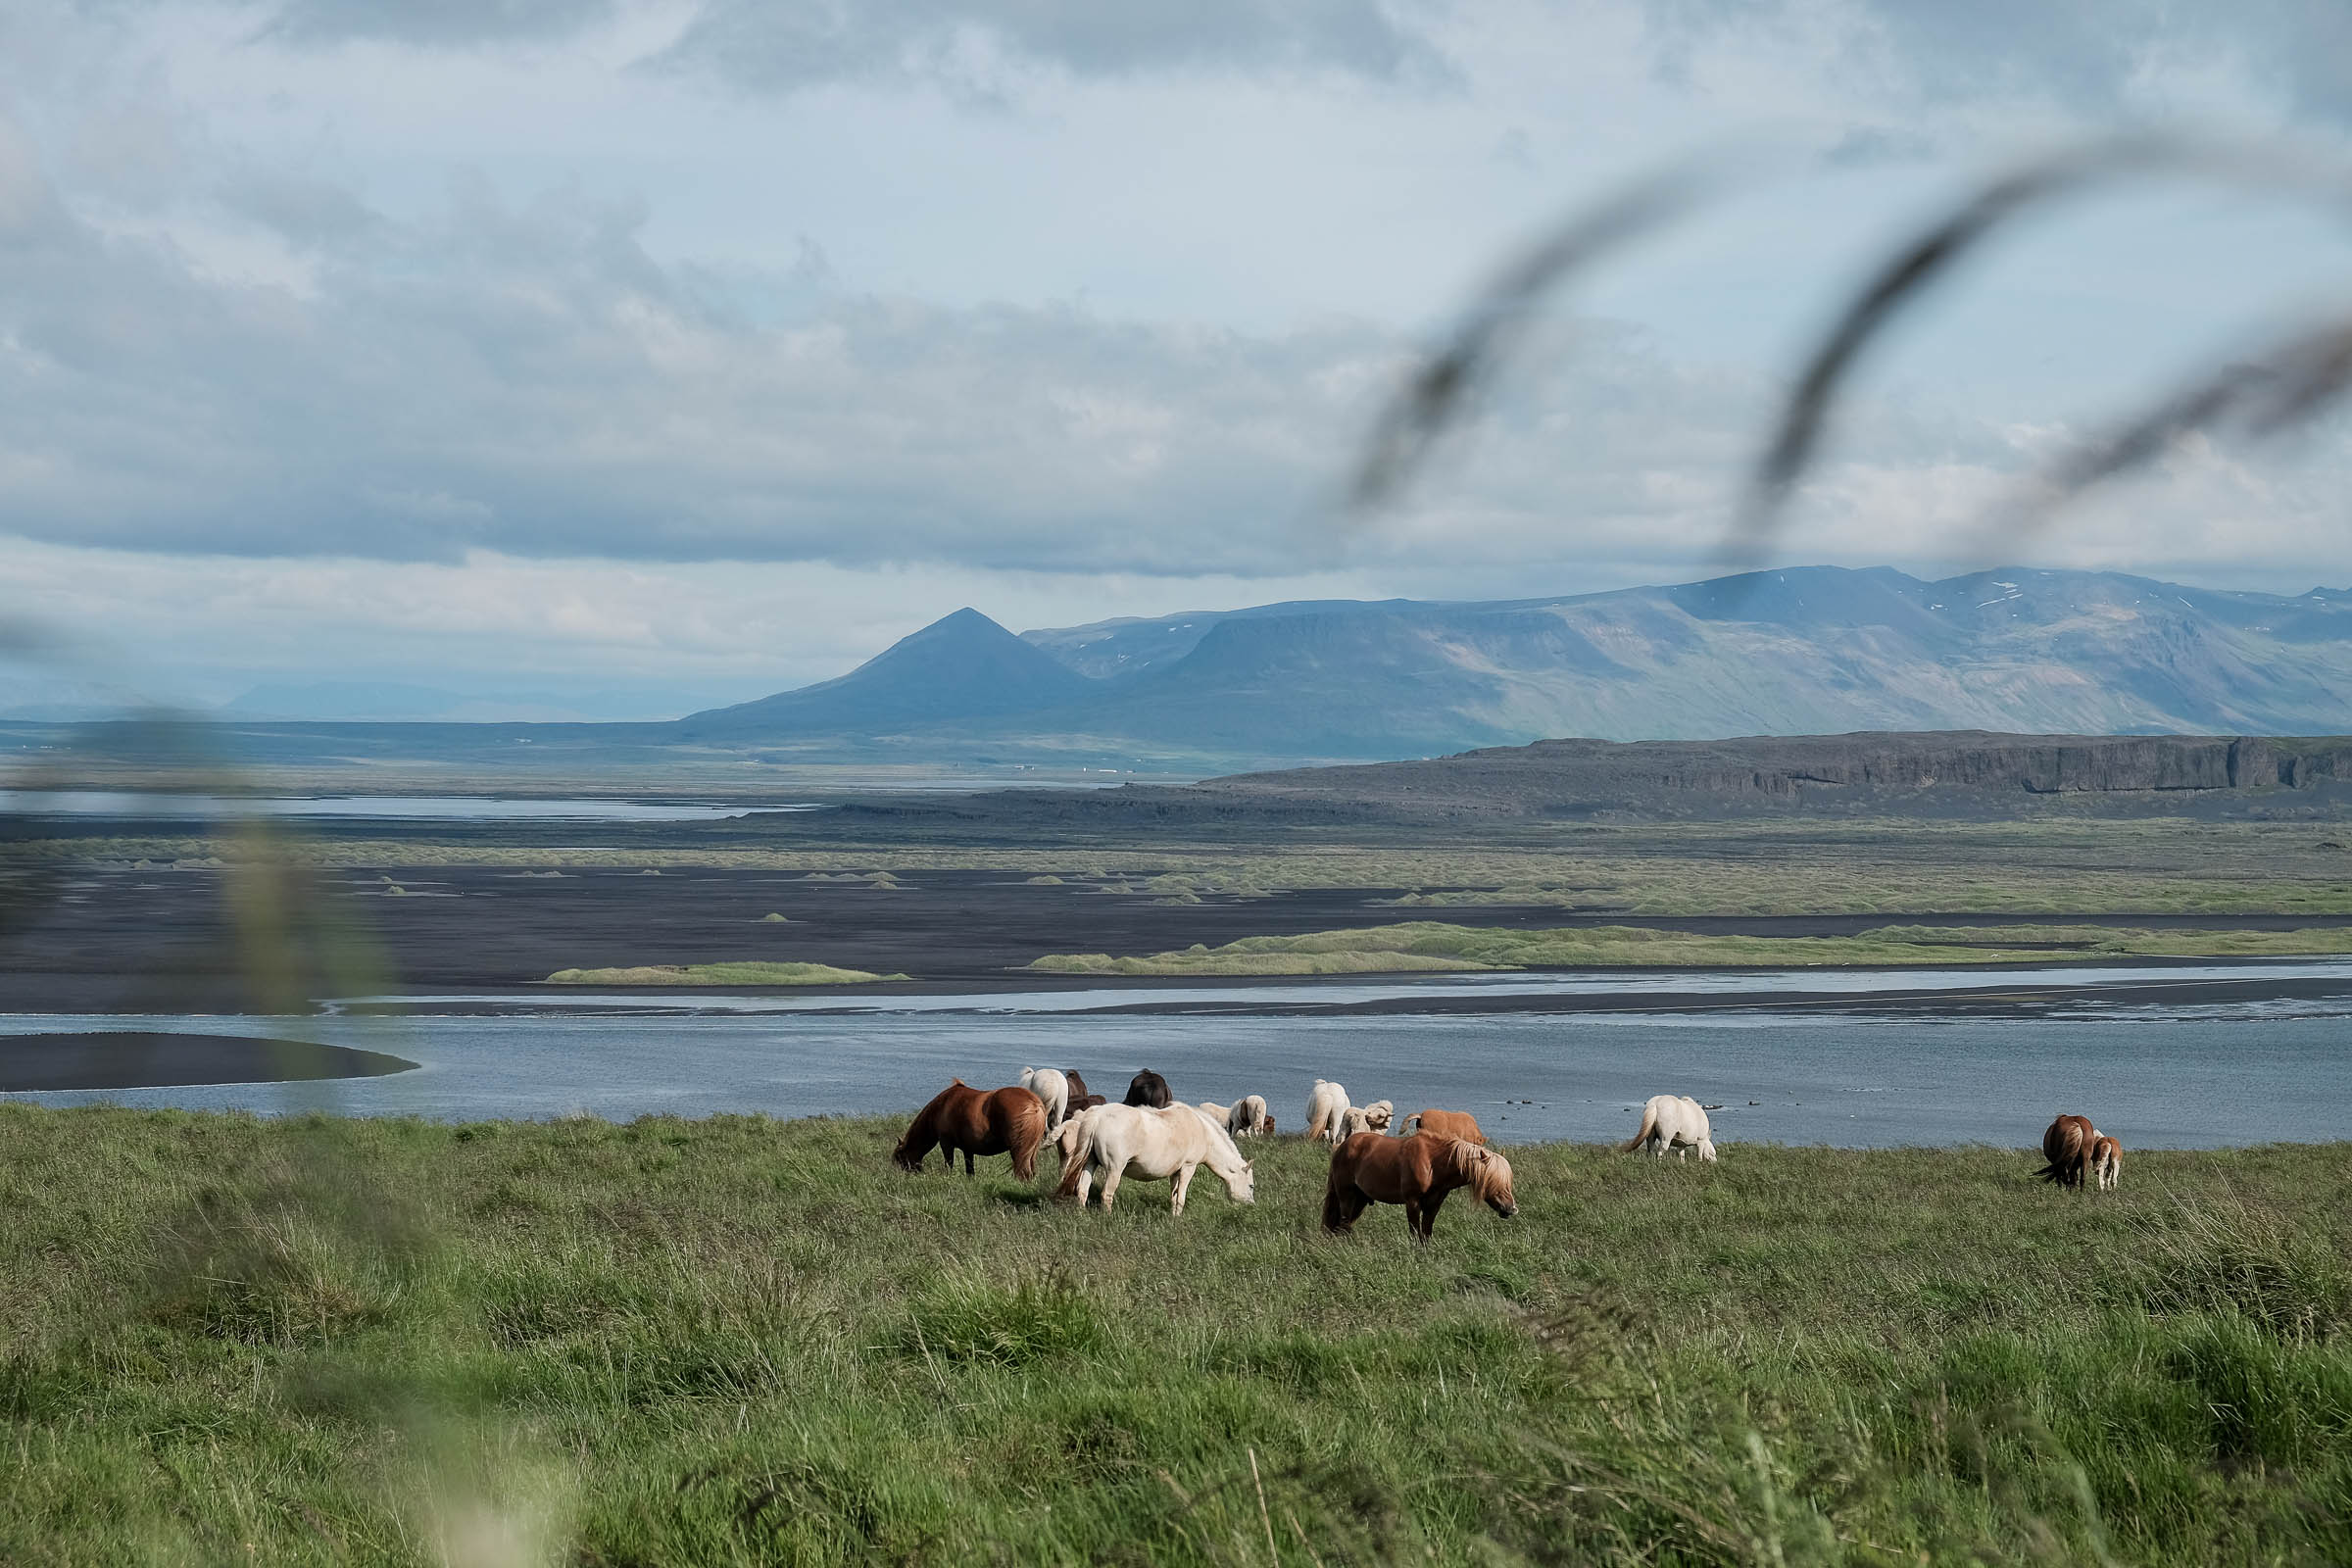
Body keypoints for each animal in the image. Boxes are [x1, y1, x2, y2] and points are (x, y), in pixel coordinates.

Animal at [893, 1080, 1046, 1180]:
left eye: (899, 1158)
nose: (898, 1177)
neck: (942, 1105)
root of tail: (1035, 1104)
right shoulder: (968, 1149)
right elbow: (970, 1170)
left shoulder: (946, 1143)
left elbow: (949, 1163)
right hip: (1031, 1151)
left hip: (1018, 1151)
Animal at [1055, 1103, 1255, 1215]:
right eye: (1251, 1186)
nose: (1251, 1206)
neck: (1202, 1130)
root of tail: (1098, 1116)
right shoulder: (1188, 1167)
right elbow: (1181, 1197)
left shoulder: (1176, 1171)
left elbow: (1174, 1196)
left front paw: (1173, 1217)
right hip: (1115, 1169)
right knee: (1107, 1194)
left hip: (1090, 1162)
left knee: (1082, 1189)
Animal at [1322, 1133, 1516, 1242]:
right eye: (1493, 1181)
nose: (1511, 1209)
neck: (1432, 1163)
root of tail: (1343, 1146)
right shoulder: (1412, 1202)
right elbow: (1415, 1232)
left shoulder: (1434, 1205)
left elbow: (1426, 1233)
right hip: (1346, 1196)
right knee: (1343, 1224)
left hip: (1361, 1199)